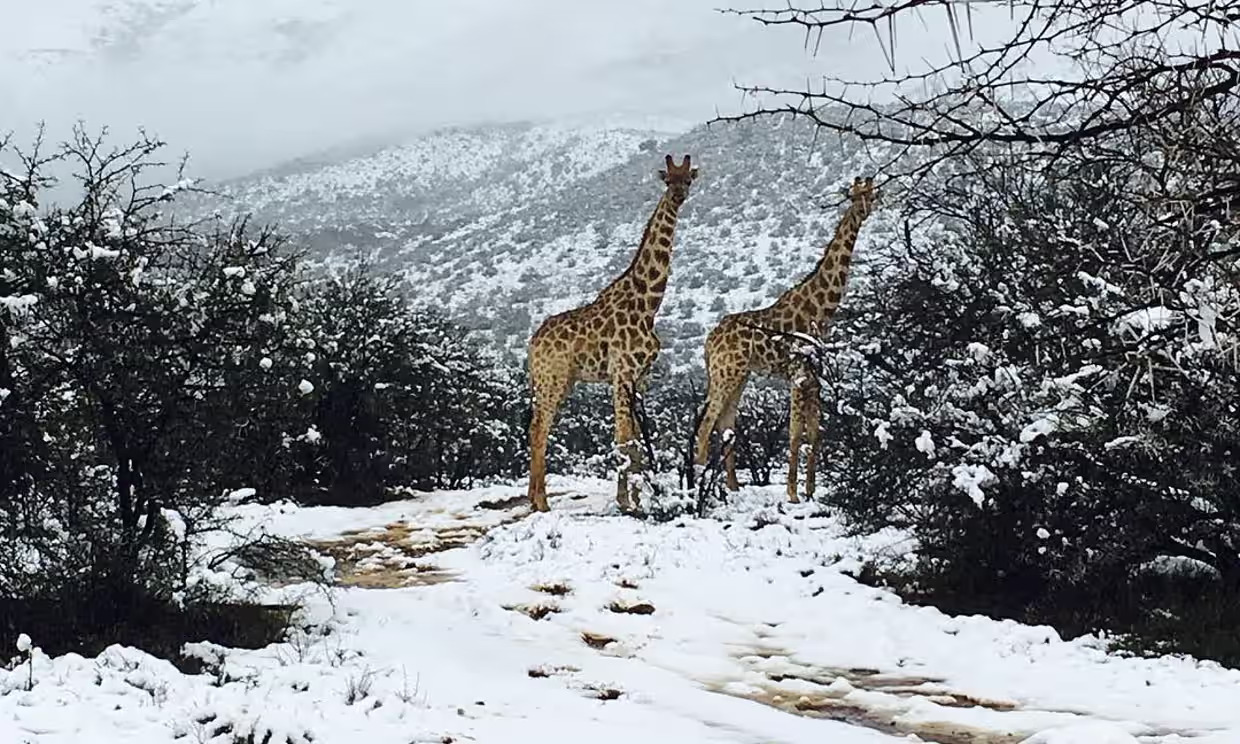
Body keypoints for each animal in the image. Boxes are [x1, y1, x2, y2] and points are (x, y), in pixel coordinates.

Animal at [526, 154, 699, 513]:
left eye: (688, 179)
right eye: (668, 180)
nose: (678, 197)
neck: (648, 304)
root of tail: (532, 344)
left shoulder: (639, 377)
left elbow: (635, 439)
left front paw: (637, 499)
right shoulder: (622, 373)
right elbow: (623, 438)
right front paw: (626, 502)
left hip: (562, 381)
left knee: (537, 427)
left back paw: (533, 498)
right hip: (552, 378)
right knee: (539, 429)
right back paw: (541, 503)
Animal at [692, 176, 878, 503]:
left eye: (871, 192)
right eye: (855, 194)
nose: (865, 209)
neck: (821, 309)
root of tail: (709, 341)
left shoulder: (814, 376)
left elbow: (815, 431)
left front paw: (811, 490)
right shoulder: (798, 373)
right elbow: (794, 433)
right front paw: (792, 493)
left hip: (738, 375)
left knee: (726, 425)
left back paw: (732, 487)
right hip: (725, 373)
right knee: (706, 425)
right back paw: (702, 488)